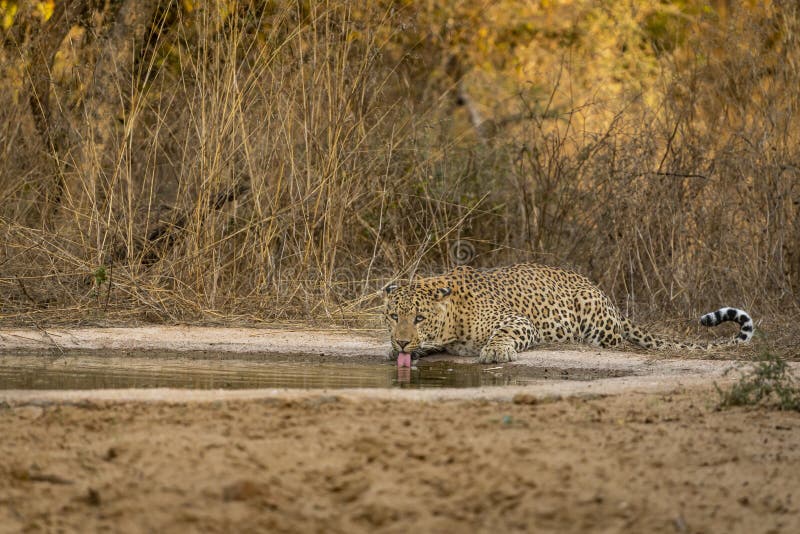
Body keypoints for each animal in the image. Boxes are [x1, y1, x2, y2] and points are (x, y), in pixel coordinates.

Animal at [384, 262, 752, 364]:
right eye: (392, 317)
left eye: (419, 318)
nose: (401, 342)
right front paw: (397, 350)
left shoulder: (518, 321)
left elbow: (502, 335)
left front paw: (495, 351)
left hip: (593, 316)